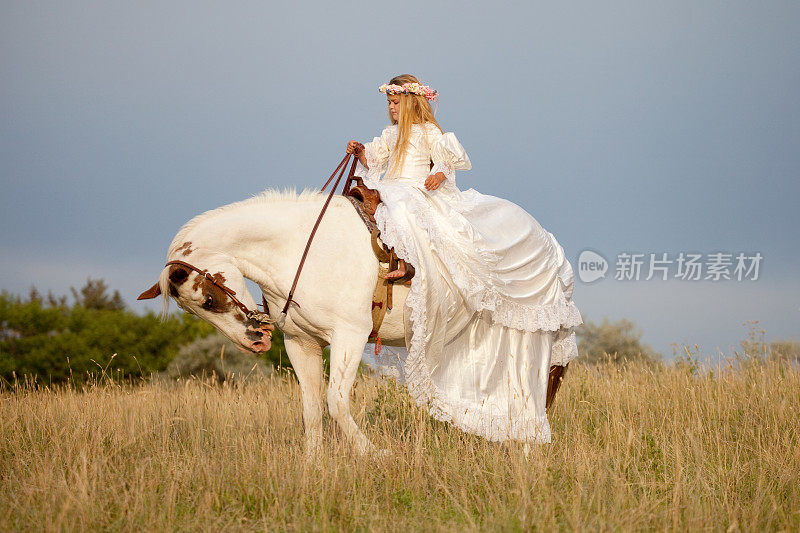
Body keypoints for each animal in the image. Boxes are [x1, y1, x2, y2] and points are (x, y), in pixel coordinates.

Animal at [139, 189, 568, 456]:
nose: (254, 342)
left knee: (537, 385)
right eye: (193, 311)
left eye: (208, 299)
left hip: (525, 331)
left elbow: (336, 402)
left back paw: (526, 447)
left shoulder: (349, 336)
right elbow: (312, 407)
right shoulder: (301, 343)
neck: (299, 249)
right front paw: (313, 464)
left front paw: (374, 453)